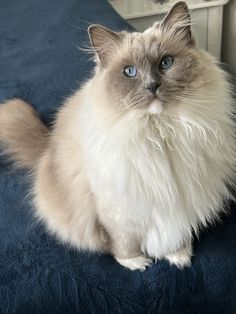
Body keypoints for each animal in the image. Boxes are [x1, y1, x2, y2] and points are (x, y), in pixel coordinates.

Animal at [0, 1, 236, 270]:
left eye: (166, 63)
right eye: (130, 72)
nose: (152, 86)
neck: (160, 132)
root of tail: (47, 146)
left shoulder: (181, 199)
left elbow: (175, 232)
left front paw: (178, 255)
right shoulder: (119, 209)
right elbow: (124, 242)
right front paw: (136, 262)